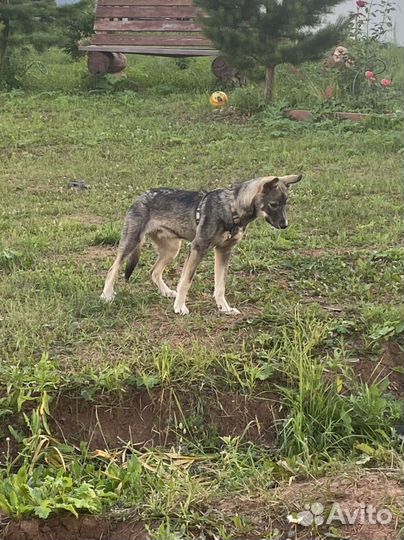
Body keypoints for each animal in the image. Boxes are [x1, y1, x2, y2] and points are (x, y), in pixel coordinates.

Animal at [101, 175, 304, 314]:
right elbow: (185, 281)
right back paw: (107, 295)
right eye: (274, 204)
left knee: (153, 271)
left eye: (285, 203)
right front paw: (180, 307)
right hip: (131, 242)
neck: (232, 209)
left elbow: (220, 286)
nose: (285, 225)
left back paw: (165, 292)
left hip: (172, 249)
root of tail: (141, 196)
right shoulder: (198, 248)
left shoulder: (224, 251)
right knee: (113, 269)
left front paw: (225, 308)